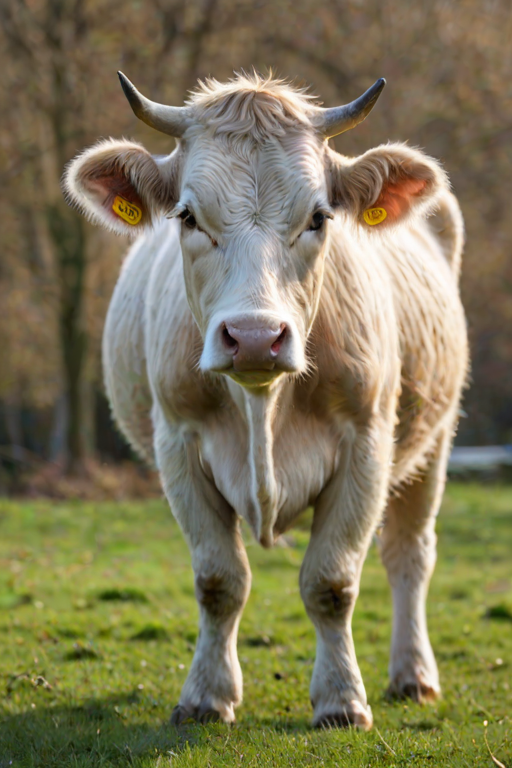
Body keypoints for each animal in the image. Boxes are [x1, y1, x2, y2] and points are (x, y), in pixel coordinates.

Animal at [64, 72, 468, 729]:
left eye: (319, 216)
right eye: (187, 215)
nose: (254, 336)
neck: (264, 407)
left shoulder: (367, 444)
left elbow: (332, 581)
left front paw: (341, 699)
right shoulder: (177, 443)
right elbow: (218, 580)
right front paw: (206, 696)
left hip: (434, 439)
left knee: (409, 553)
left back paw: (412, 674)